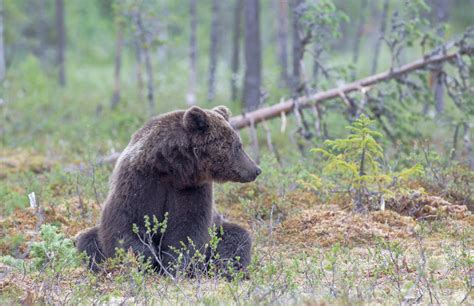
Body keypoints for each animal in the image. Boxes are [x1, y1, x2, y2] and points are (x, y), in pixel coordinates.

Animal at [78, 104, 262, 274]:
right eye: (238, 146)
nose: (256, 169)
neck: (170, 168)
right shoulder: (139, 181)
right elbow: (126, 223)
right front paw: (144, 259)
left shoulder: (191, 189)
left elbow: (188, 229)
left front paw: (175, 265)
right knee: (87, 240)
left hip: (219, 227)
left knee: (236, 237)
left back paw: (227, 268)